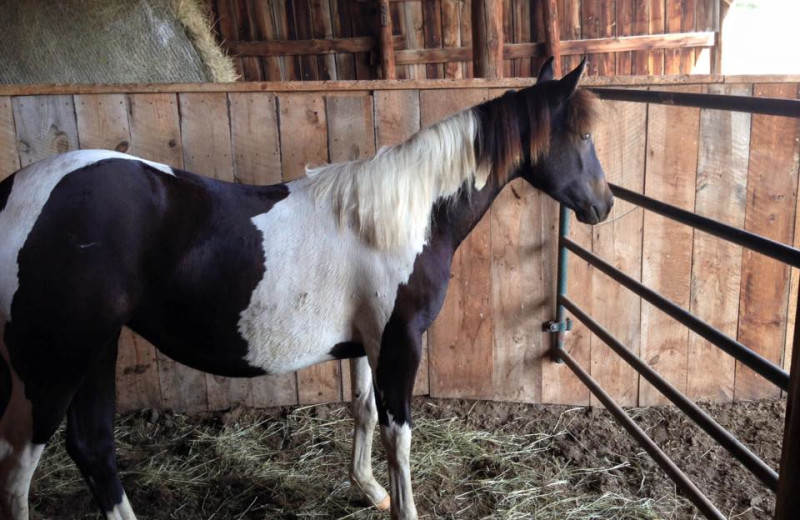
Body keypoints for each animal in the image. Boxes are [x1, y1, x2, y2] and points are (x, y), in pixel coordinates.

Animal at [0, 57, 612, 520]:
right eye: (582, 134)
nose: (604, 206)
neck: (405, 216)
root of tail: (14, 191)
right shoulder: (400, 341)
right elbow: (398, 433)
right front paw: (401, 506)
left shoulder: (366, 342)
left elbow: (364, 412)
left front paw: (368, 489)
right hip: (56, 364)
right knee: (19, 466)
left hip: (97, 350)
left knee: (93, 448)